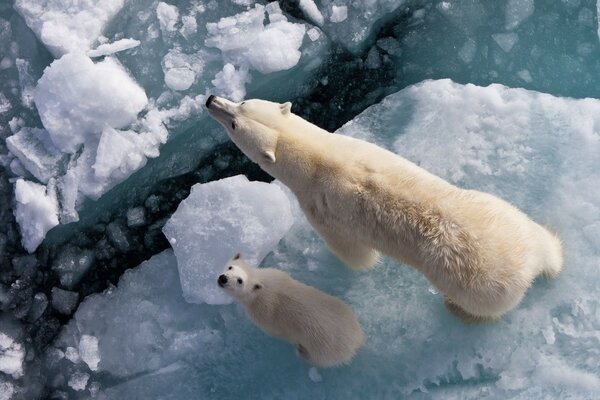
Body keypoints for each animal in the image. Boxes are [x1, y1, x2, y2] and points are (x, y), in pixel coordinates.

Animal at [205, 94, 564, 322]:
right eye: (242, 104)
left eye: (235, 122)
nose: (210, 100)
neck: (319, 157)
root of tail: (528, 264)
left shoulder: (321, 208)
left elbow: (352, 252)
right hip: (504, 212)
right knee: (543, 238)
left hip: (477, 284)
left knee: (482, 306)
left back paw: (455, 308)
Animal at [218, 255, 364, 368]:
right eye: (230, 267)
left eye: (240, 281)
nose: (223, 278)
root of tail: (356, 341)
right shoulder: (276, 273)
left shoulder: (262, 314)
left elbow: (274, 331)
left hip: (323, 349)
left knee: (317, 359)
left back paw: (300, 351)